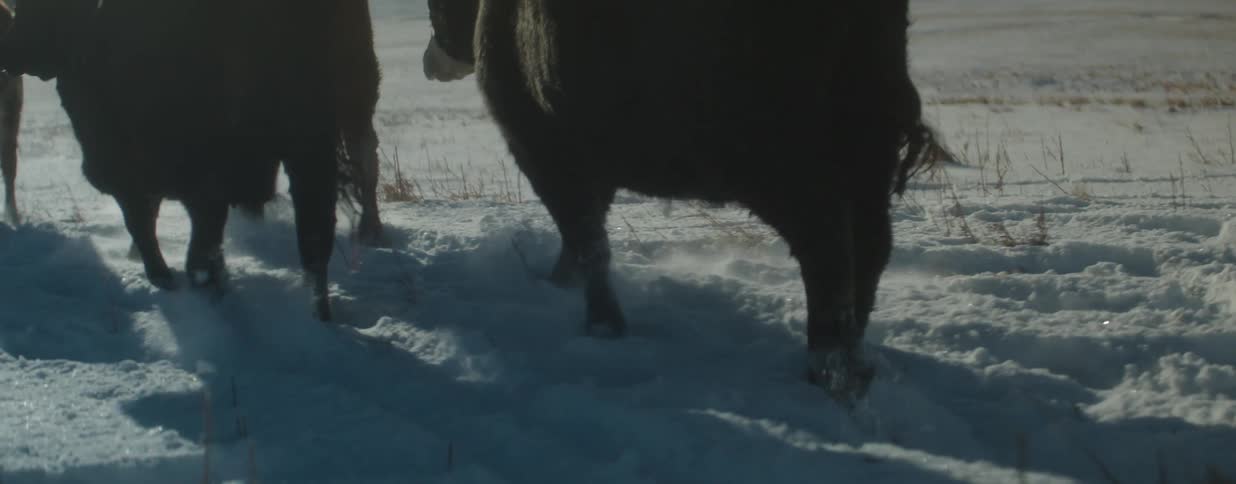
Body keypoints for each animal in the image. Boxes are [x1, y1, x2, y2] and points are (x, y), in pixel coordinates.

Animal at [0, 0, 386, 320]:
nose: (13, 54)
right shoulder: (134, 185)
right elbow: (151, 242)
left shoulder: (204, 188)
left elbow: (195, 253)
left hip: (346, 111)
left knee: (341, 195)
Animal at [424, 0, 945, 399]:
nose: (430, 62)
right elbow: (582, 238)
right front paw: (561, 286)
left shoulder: (543, 145)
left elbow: (587, 238)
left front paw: (602, 324)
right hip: (868, 148)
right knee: (871, 244)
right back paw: (854, 352)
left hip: (780, 158)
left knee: (826, 247)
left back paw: (830, 367)